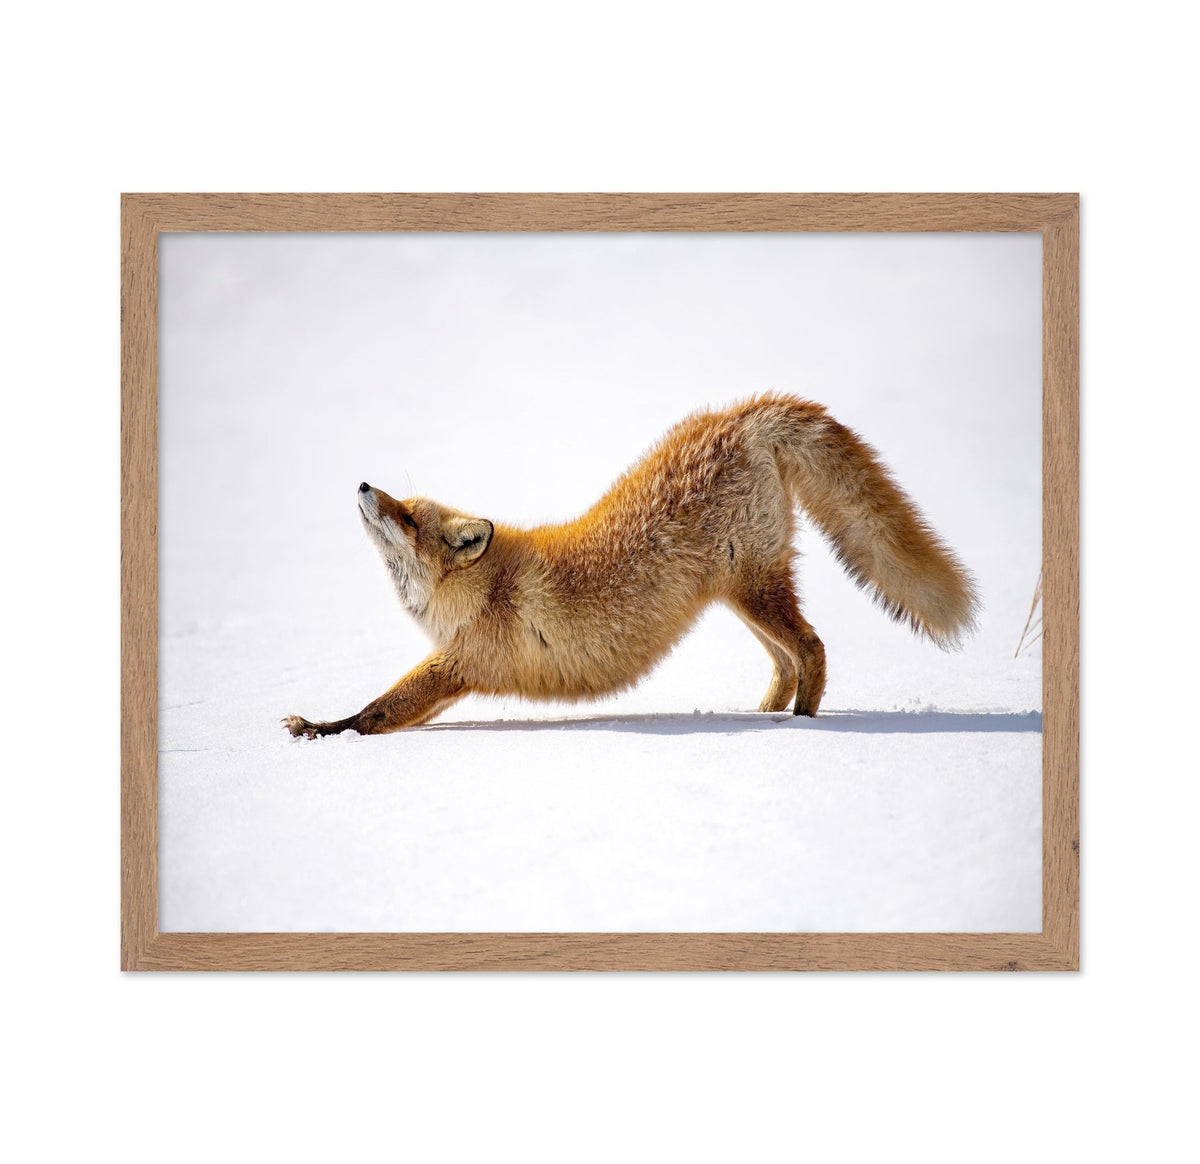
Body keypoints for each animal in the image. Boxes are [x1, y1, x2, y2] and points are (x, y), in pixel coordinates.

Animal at [283, 393, 979, 739]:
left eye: (407, 518)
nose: (364, 485)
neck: (485, 588)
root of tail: (740, 415)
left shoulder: (461, 663)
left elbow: (376, 712)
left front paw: (323, 729)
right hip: (738, 595)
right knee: (788, 660)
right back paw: (765, 716)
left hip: (752, 587)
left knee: (813, 648)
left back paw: (800, 731)